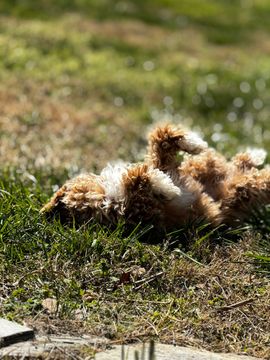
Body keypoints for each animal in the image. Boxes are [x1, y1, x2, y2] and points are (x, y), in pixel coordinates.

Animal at [41, 124, 268, 231]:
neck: (107, 197)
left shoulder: (167, 165)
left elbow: (160, 138)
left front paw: (194, 143)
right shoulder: (140, 211)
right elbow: (137, 177)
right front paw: (166, 187)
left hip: (208, 169)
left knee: (239, 161)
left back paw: (255, 154)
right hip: (239, 192)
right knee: (259, 178)